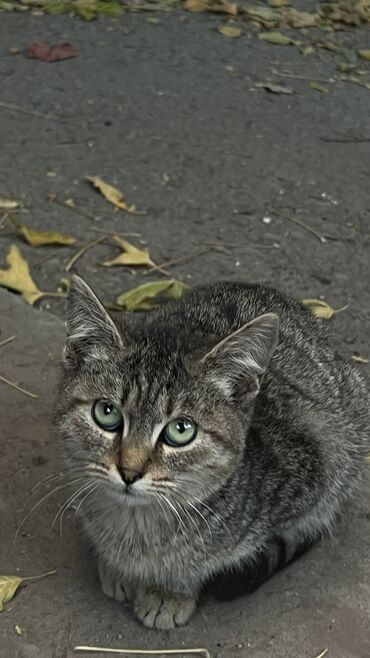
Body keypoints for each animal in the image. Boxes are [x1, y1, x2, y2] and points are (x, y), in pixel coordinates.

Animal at [55, 274, 370, 628]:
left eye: (181, 430)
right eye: (106, 413)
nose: (129, 471)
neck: (136, 525)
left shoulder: (316, 463)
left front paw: (171, 590)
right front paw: (117, 567)